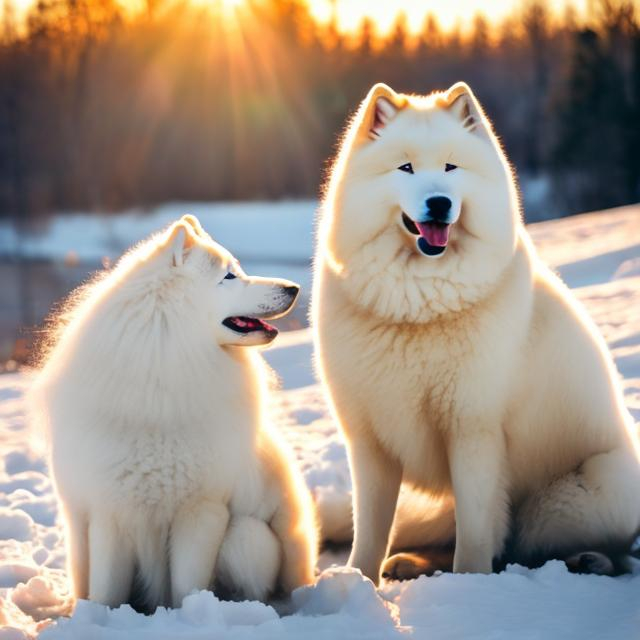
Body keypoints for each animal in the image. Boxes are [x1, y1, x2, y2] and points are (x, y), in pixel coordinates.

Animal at [32, 218, 318, 612]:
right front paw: (99, 615)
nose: (294, 288)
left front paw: (193, 613)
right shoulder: (110, 512)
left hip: (247, 537)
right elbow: (107, 590)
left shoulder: (202, 511)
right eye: (229, 276)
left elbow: (187, 586)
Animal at [312, 81, 640, 584]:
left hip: (575, 499)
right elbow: (369, 531)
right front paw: (358, 581)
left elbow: (476, 535)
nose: (439, 203)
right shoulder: (369, 441)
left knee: (568, 548)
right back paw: (406, 564)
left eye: (451, 167)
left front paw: (469, 586)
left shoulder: (473, 430)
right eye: (406, 167)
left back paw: (588, 560)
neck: (418, 306)